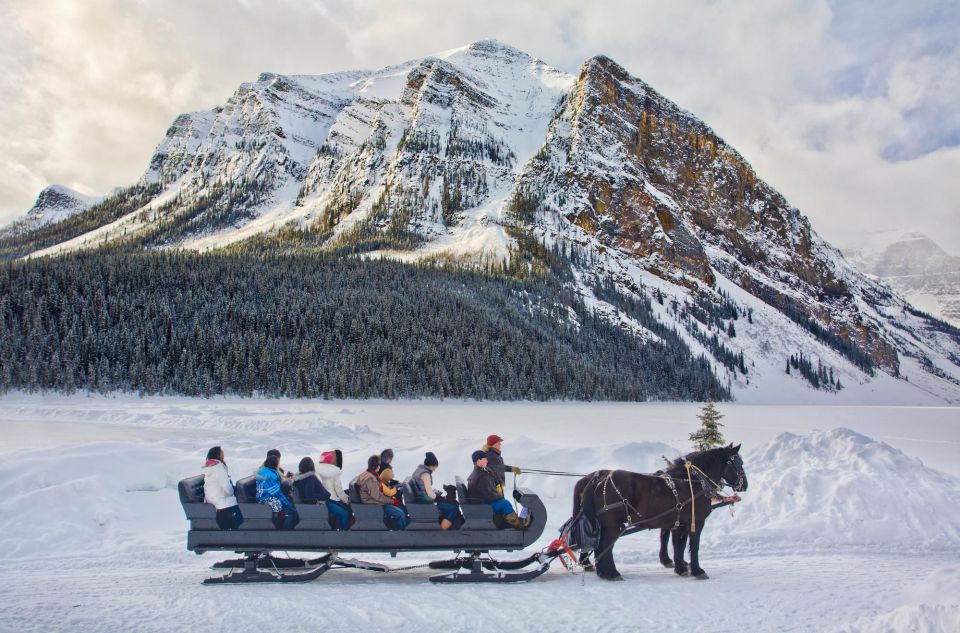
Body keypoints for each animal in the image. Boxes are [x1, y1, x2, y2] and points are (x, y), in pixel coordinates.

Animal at [572, 442, 748, 580]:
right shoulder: (696, 522)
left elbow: (678, 545)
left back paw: (602, 571)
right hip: (613, 525)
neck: (692, 481)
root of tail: (597, 480)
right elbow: (693, 545)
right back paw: (611, 573)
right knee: (604, 547)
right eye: (739, 463)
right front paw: (697, 570)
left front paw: (680, 567)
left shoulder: (679, 522)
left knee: (600, 547)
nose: (745, 485)